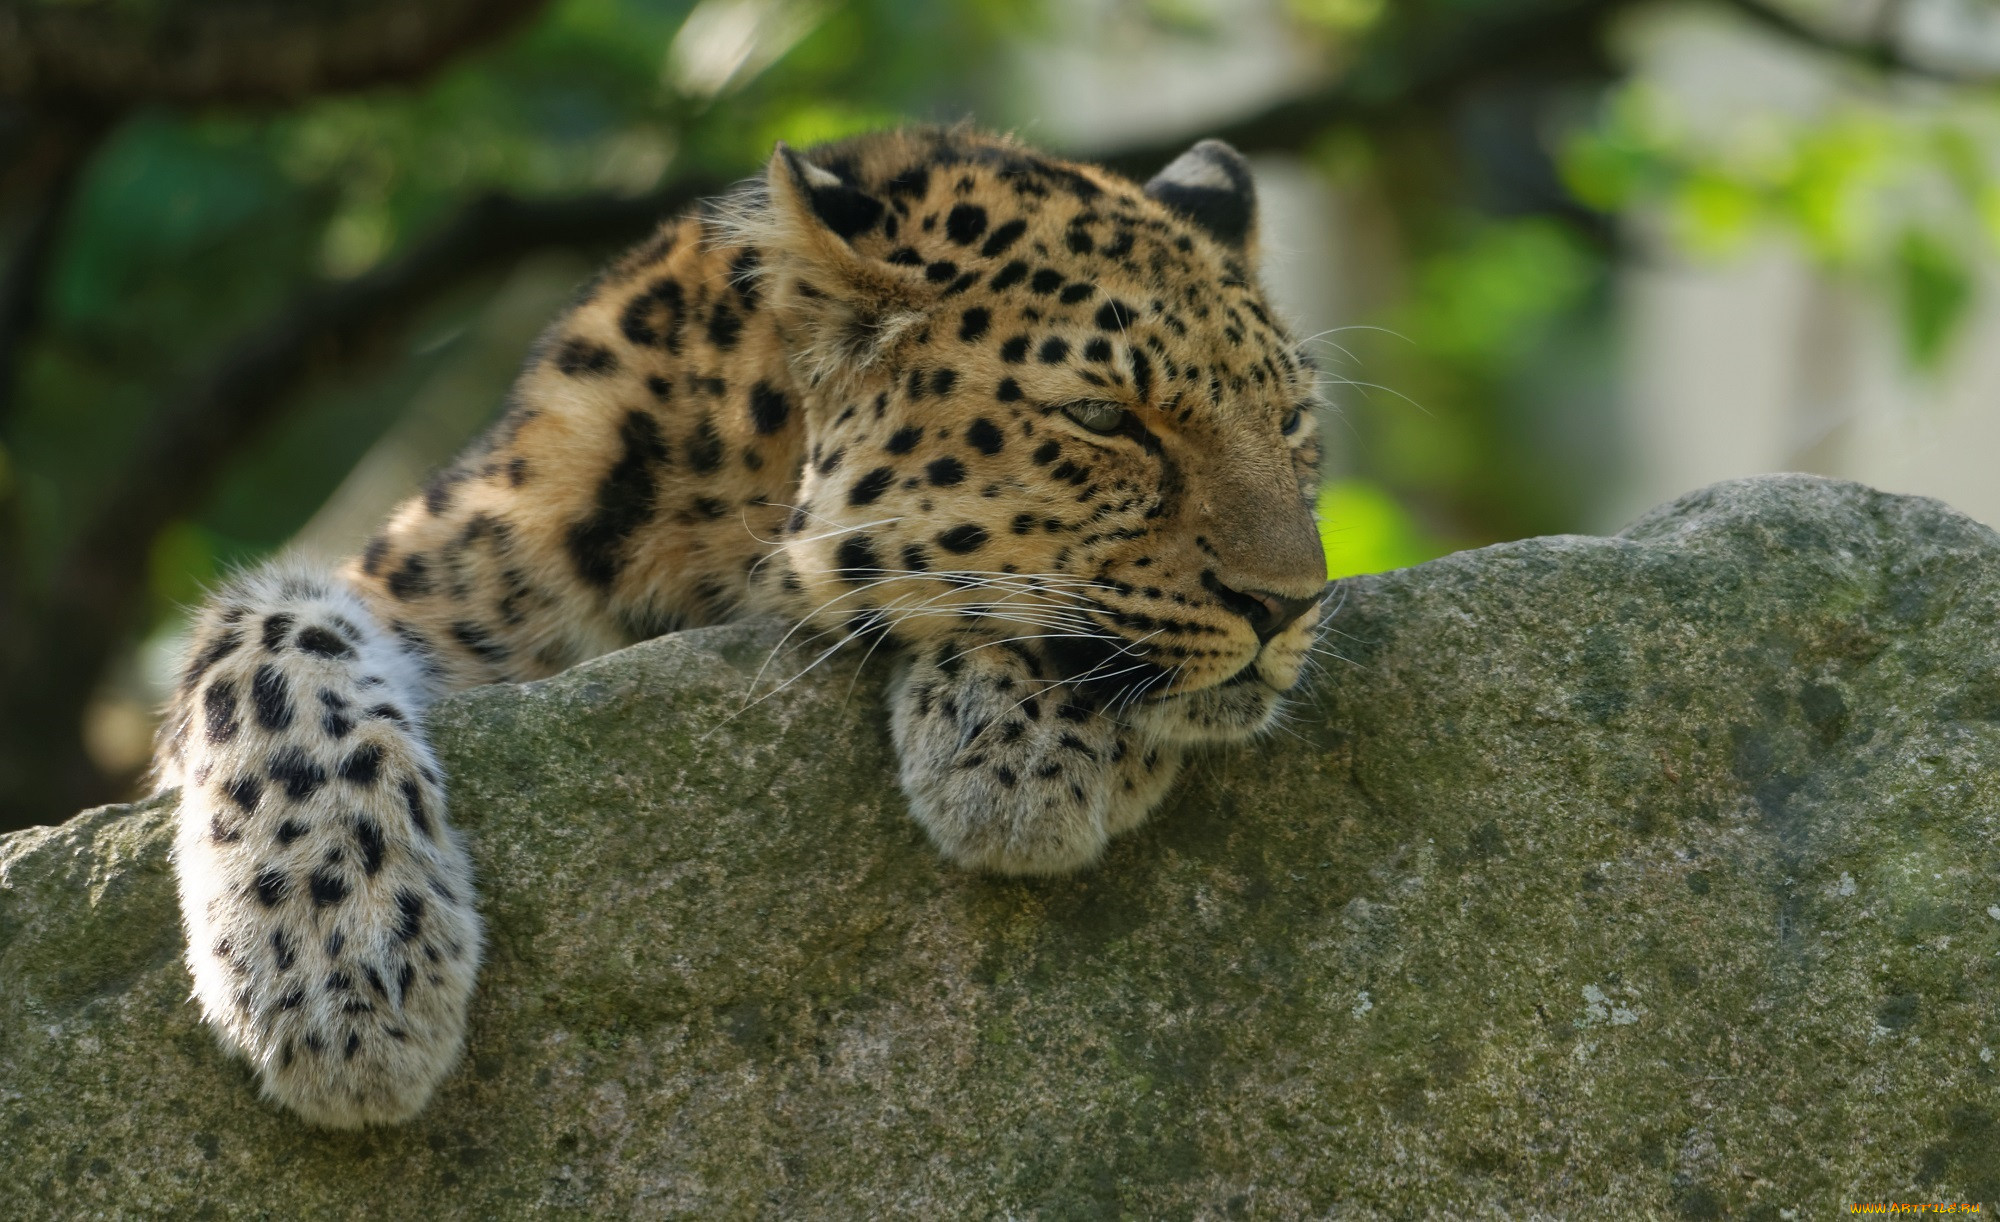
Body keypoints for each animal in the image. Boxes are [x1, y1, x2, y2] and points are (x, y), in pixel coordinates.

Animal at [152, 124, 1328, 1128]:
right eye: (1100, 417)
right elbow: (263, 634)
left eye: (1291, 423)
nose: (1291, 601)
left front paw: (1024, 742)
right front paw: (340, 966)